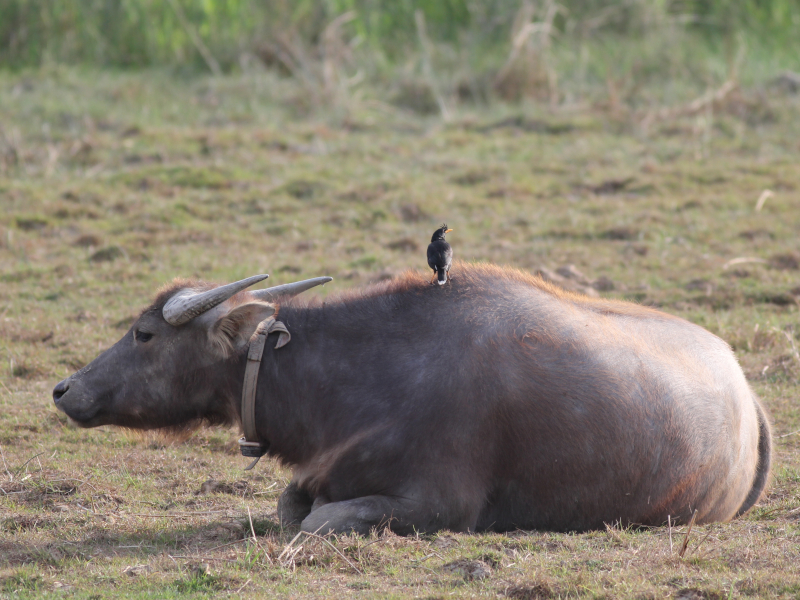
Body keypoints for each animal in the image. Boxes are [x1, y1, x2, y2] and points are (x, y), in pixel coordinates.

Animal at [53, 264, 772, 536]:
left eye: (144, 333)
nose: (64, 389)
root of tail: (751, 399)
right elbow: (292, 505)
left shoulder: (440, 503)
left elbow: (316, 522)